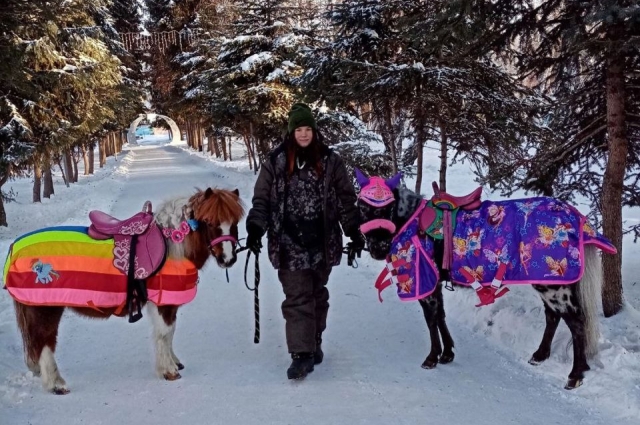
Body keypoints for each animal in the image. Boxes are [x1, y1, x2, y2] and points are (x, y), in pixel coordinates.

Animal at [10, 187, 245, 392]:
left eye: (234, 223)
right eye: (209, 222)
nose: (228, 259)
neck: (173, 246)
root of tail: (14, 249)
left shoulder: (167, 304)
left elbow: (170, 333)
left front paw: (174, 362)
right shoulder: (163, 302)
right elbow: (164, 333)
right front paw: (169, 370)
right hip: (46, 309)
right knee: (45, 343)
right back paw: (56, 384)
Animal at [358, 169, 616, 388]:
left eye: (386, 208)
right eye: (361, 207)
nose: (378, 248)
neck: (413, 224)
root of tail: (575, 217)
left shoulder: (426, 282)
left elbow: (431, 319)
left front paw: (432, 358)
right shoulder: (435, 283)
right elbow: (440, 316)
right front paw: (447, 353)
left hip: (555, 287)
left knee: (576, 322)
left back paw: (575, 375)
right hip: (548, 282)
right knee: (554, 317)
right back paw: (540, 356)